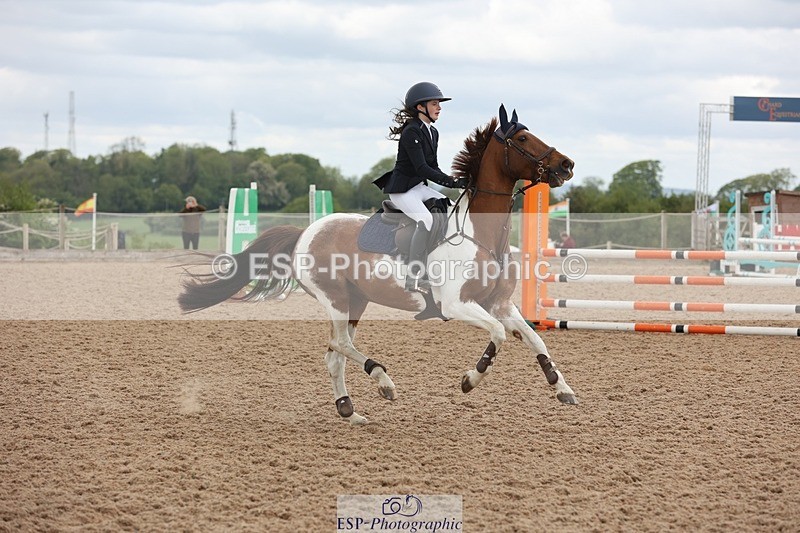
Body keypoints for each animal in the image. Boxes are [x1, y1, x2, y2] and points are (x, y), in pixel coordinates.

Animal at [178, 105, 578, 425]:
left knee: (334, 355)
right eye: (523, 138)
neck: (481, 235)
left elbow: (535, 339)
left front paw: (561, 388)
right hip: (337, 299)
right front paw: (470, 379)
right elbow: (497, 335)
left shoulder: (500, 304)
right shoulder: (457, 305)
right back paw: (383, 381)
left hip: (357, 301)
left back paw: (349, 410)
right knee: (338, 343)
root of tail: (305, 231)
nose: (566, 164)